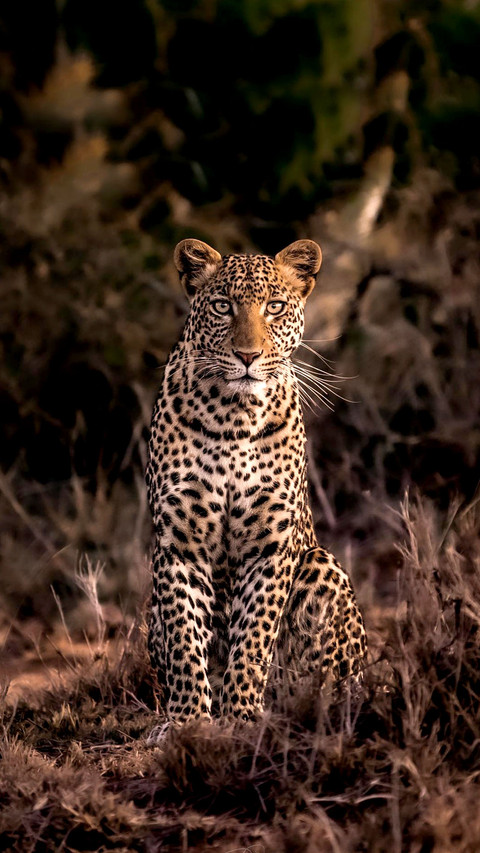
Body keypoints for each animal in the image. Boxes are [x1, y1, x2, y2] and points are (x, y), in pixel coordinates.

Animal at [145, 238, 366, 724]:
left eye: (275, 307)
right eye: (223, 306)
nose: (247, 357)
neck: (233, 416)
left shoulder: (272, 543)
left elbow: (254, 637)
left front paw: (241, 715)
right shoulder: (178, 542)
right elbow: (184, 639)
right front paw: (188, 722)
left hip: (322, 564)